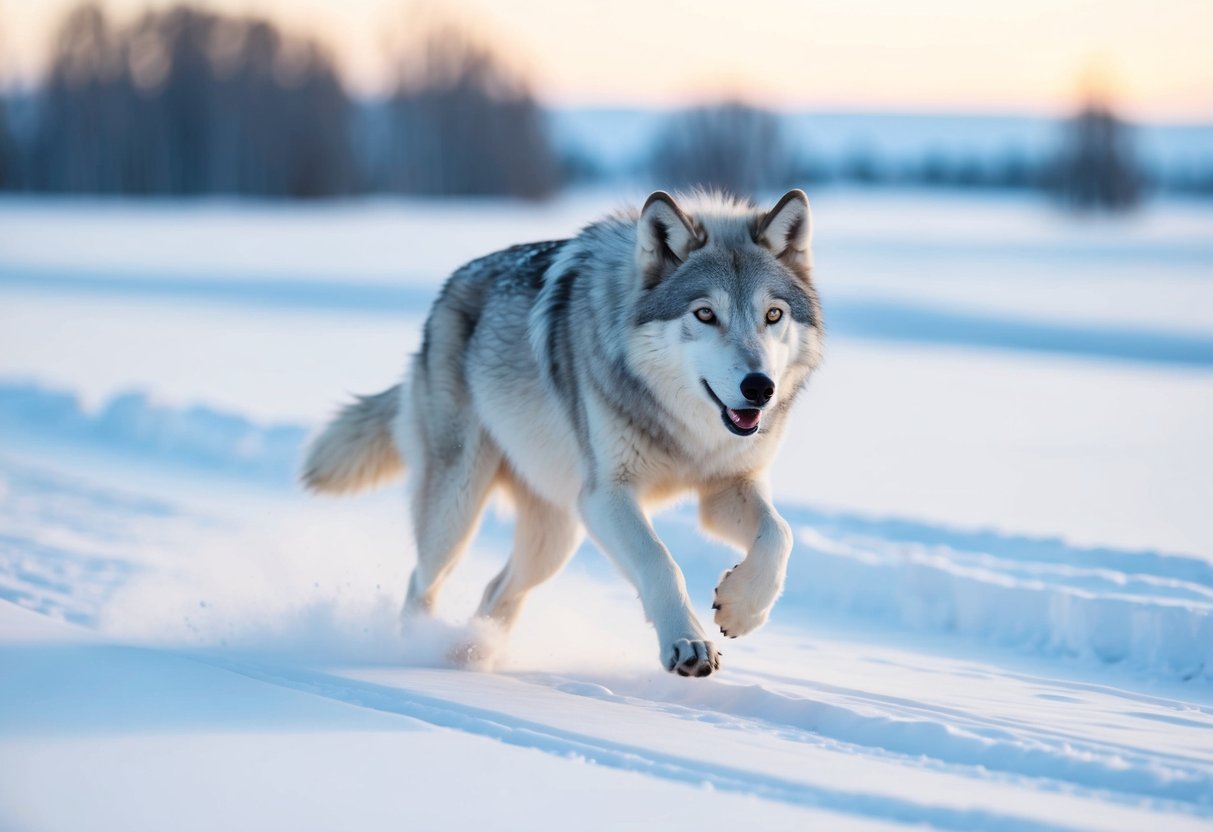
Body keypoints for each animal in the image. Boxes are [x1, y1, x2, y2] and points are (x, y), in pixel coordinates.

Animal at [303, 189, 822, 677]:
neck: (688, 432)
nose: (759, 388)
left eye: (773, 315)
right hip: (459, 511)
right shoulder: (606, 495)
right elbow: (659, 561)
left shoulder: (726, 487)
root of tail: (442, 299)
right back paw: (417, 647)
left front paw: (742, 608)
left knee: (497, 591)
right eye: (705, 314)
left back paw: (471, 654)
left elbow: (779, 534)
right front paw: (688, 643)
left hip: (554, 538)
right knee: (420, 583)